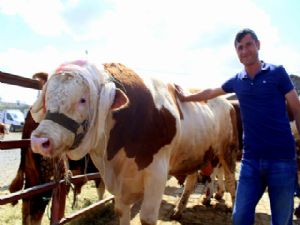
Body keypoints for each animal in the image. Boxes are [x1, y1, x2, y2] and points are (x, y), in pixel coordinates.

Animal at [29, 60, 238, 225]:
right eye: (46, 97)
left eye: (83, 100)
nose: (40, 140)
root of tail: (226, 102)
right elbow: (122, 211)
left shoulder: (157, 173)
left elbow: (147, 218)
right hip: (196, 153)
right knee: (191, 181)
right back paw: (178, 211)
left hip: (227, 151)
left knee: (231, 181)